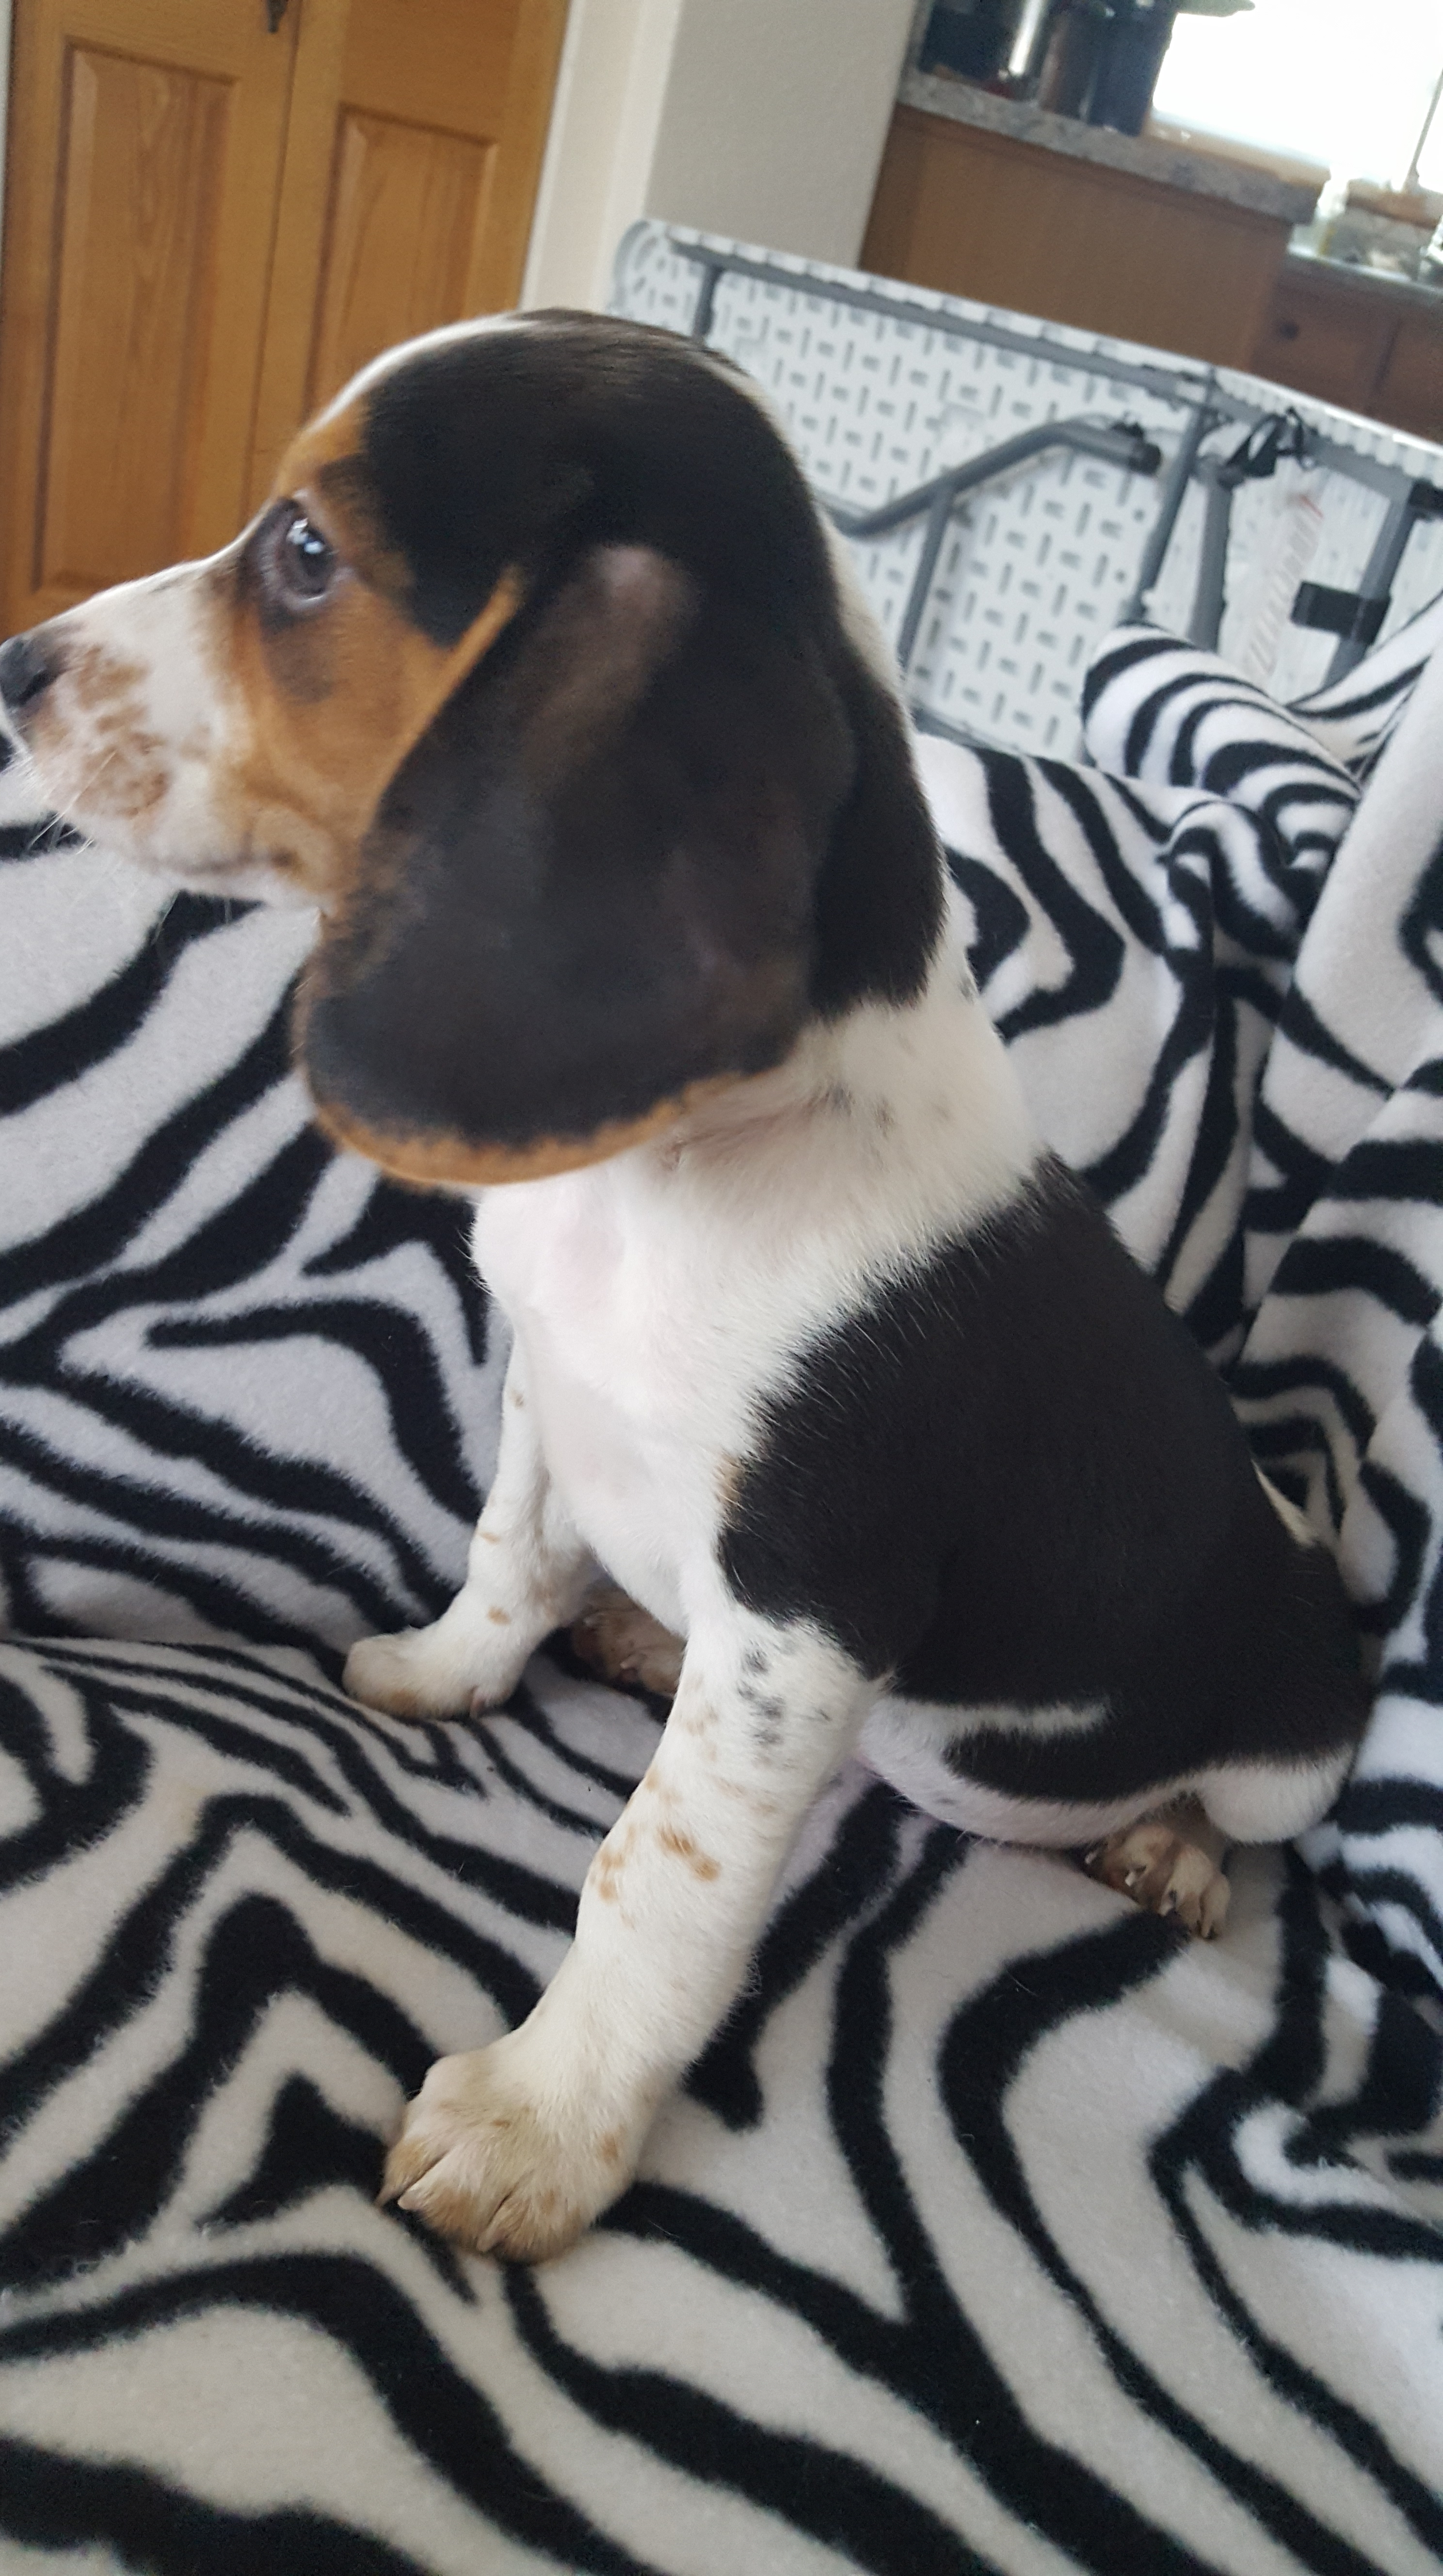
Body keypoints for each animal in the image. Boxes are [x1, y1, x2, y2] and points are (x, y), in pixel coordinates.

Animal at [0, 312, 1369, 2262]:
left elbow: (651, 1876)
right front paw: (447, 1666)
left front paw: (541, 2119)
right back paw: (639, 1628)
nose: (18, 666)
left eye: (307, 552)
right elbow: (506, 1560)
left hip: (1292, 1734)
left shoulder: (803, 1619)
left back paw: (1168, 1841)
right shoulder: (542, 1393)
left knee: (1239, 1810)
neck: (683, 1172)